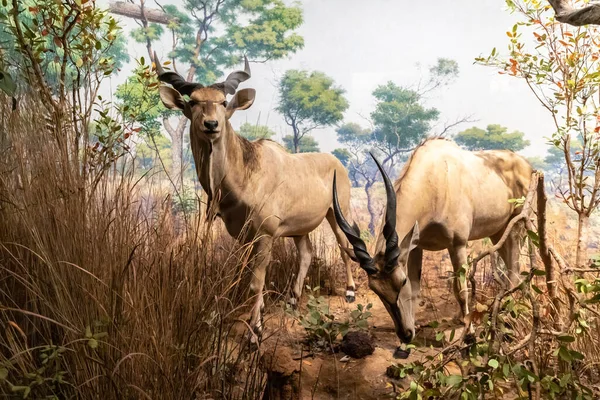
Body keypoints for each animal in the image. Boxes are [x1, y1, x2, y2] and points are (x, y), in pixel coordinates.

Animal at [155, 52, 358, 340]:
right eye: (193, 102)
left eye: (223, 102)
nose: (211, 125)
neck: (246, 173)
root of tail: (337, 163)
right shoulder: (244, 237)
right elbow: (245, 277)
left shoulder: (264, 235)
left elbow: (255, 282)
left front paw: (255, 331)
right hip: (299, 229)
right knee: (306, 253)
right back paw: (293, 299)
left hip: (338, 213)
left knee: (344, 245)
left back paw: (350, 292)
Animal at [332, 138, 536, 344]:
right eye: (375, 289)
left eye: (402, 281)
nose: (405, 335)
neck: (436, 177)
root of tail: (526, 165)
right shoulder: (415, 247)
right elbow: (416, 289)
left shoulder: (457, 244)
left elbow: (461, 290)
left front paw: (469, 334)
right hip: (499, 232)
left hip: (517, 226)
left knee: (515, 271)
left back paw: (508, 320)